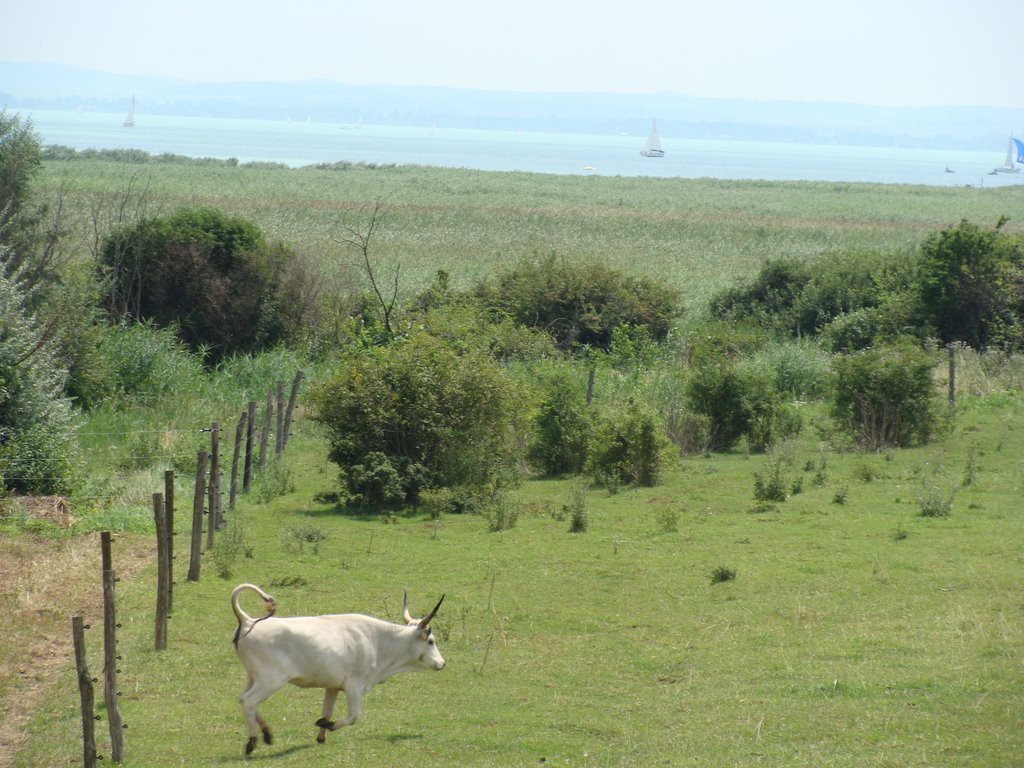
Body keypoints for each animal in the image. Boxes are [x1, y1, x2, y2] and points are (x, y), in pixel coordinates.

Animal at [234, 581, 446, 757]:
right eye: (431, 641)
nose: (442, 663)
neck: (378, 641)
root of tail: (248, 621)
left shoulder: (332, 686)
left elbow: (327, 711)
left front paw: (321, 736)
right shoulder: (354, 686)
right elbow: (353, 717)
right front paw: (326, 725)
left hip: (254, 677)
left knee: (243, 699)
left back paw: (267, 734)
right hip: (271, 680)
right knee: (249, 701)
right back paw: (252, 742)